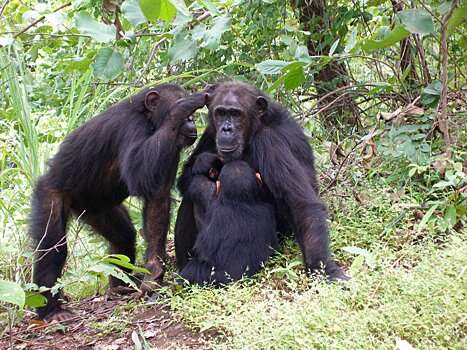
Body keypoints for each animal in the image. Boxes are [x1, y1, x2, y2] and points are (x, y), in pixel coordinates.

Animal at [28, 83, 212, 322]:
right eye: (187, 114)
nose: (190, 121)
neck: (149, 119)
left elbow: (157, 196)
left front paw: (153, 273)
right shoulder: (132, 128)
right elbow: (140, 173)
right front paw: (182, 108)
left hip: (97, 209)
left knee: (123, 237)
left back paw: (118, 286)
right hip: (50, 194)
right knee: (52, 246)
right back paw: (50, 309)